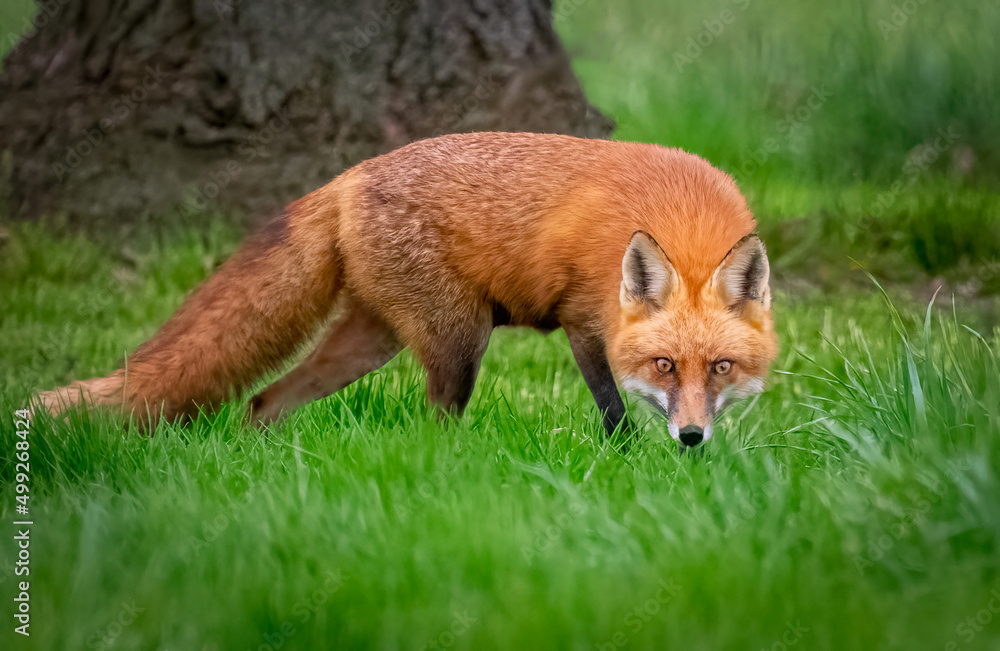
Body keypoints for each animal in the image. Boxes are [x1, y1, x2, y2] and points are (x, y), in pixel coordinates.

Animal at [35, 132, 776, 448]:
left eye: (721, 367)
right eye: (663, 364)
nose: (690, 437)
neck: (682, 219)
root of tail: (347, 176)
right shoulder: (583, 321)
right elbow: (614, 412)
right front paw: (628, 461)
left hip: (369, 342)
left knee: (262, 400)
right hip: (457, 342)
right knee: (434, 425)